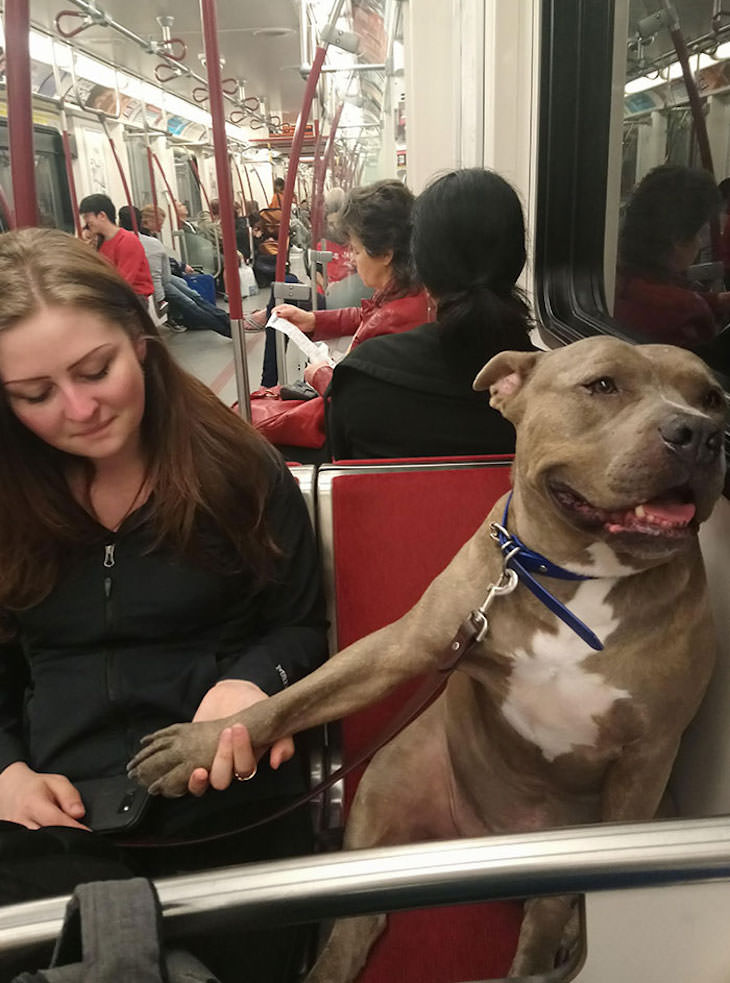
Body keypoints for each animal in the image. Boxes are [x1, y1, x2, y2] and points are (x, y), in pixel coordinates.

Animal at [129, 336, 724, 976]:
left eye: (712, 397)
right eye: (603, 385)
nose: (701, 433)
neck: (573, 579)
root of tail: (486, 841)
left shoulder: (646, 760)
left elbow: (572, 888)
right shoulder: (402, 645)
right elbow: (291, 701)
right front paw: (199, 745)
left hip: (651, 808)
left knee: (549, 907)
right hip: (389, 780)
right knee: (359, 919)